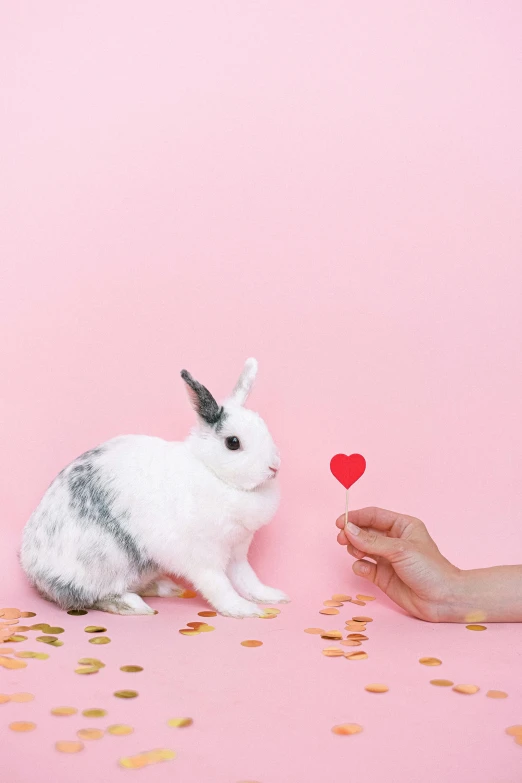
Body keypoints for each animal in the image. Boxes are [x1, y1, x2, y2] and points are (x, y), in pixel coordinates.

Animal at [21, 358, 288, 620]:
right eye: (233, 442)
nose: (274, 466)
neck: (213, 473)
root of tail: (33, 569)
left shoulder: (237, 552)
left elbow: (247, 579)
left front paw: (271, 596)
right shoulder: (203, 557)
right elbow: (218, 585)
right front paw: (242, 609)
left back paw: (165, 587)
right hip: (104, 563)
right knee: (88, 596)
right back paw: (135, 605)